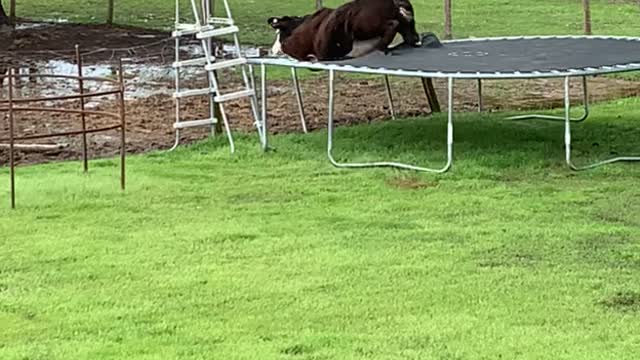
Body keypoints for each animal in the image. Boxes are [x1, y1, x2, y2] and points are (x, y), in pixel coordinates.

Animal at [266, 0, 420, 61]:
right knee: (411, 35)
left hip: (363, 25)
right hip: (408, 26)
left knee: (393, 24)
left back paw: (382, 47)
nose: (271, 51)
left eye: (278, 33)